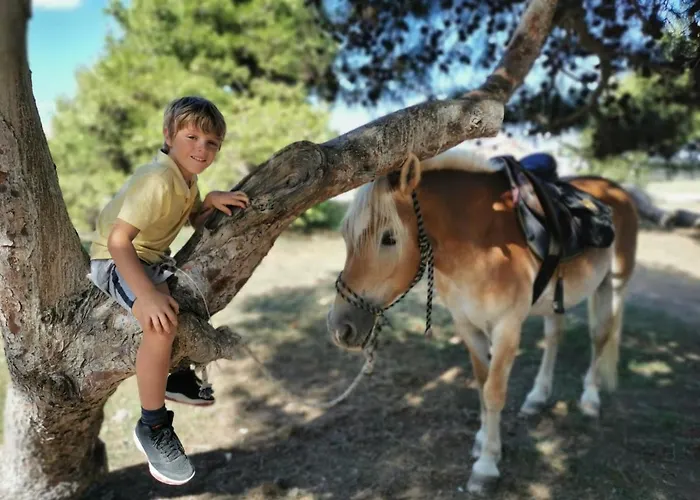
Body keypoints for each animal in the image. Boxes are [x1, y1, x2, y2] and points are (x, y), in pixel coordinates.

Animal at [326, 149, 638, 494]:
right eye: (346, 238)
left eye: (389, 238)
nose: (340, 327)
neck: (479, 246)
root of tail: (616, 190)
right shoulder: (467, 325)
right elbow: (481, 383)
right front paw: (483, 441)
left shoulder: (506, 328)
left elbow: (494, 392)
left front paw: (486, 466)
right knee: (554, 337)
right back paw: (537, 397)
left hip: (613, 284)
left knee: (601, 337)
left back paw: (590, 399)